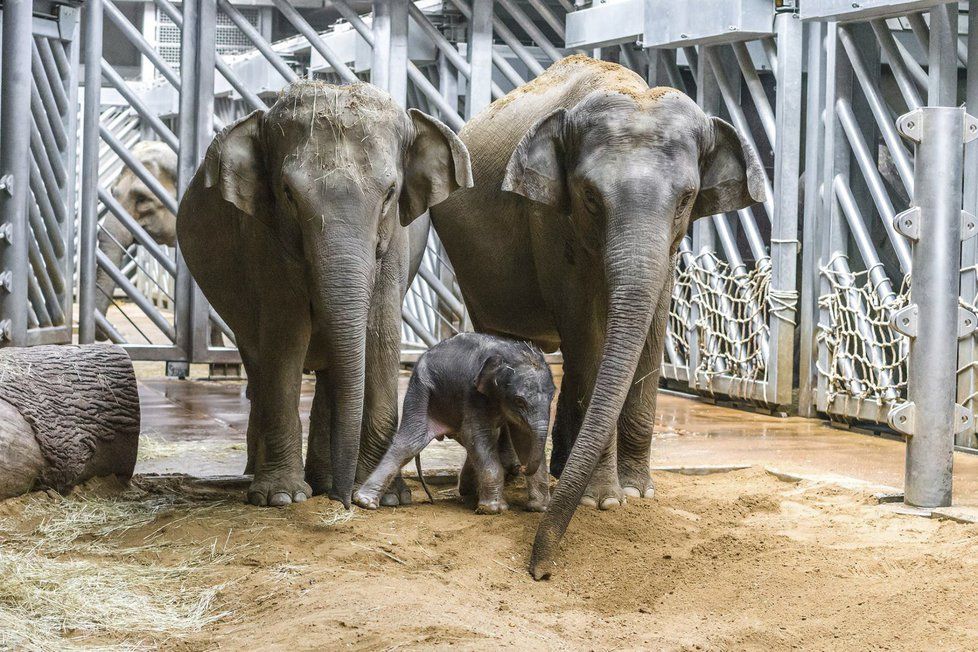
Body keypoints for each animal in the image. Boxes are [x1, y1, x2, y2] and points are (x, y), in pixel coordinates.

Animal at [352, 334, 552, 512]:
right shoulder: (473, 394)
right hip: (421, 388)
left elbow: (524, 439)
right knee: (411, 442)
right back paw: (365, 502)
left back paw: (468, 493)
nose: (522, 468)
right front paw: (494, 509)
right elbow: (476, 435)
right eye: (519, 401)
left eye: (552, 398)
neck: (509, 354)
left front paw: (538, 508)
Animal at [430, 53, 768, 580]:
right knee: (501, 332)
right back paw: (514, 471)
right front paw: (603, 502)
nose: (541, 571)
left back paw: (559, 468)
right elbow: (585, 328)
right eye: (589, 197)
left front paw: (637, 494)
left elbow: (652, 323)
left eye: (687, 200)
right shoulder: (549, 222)